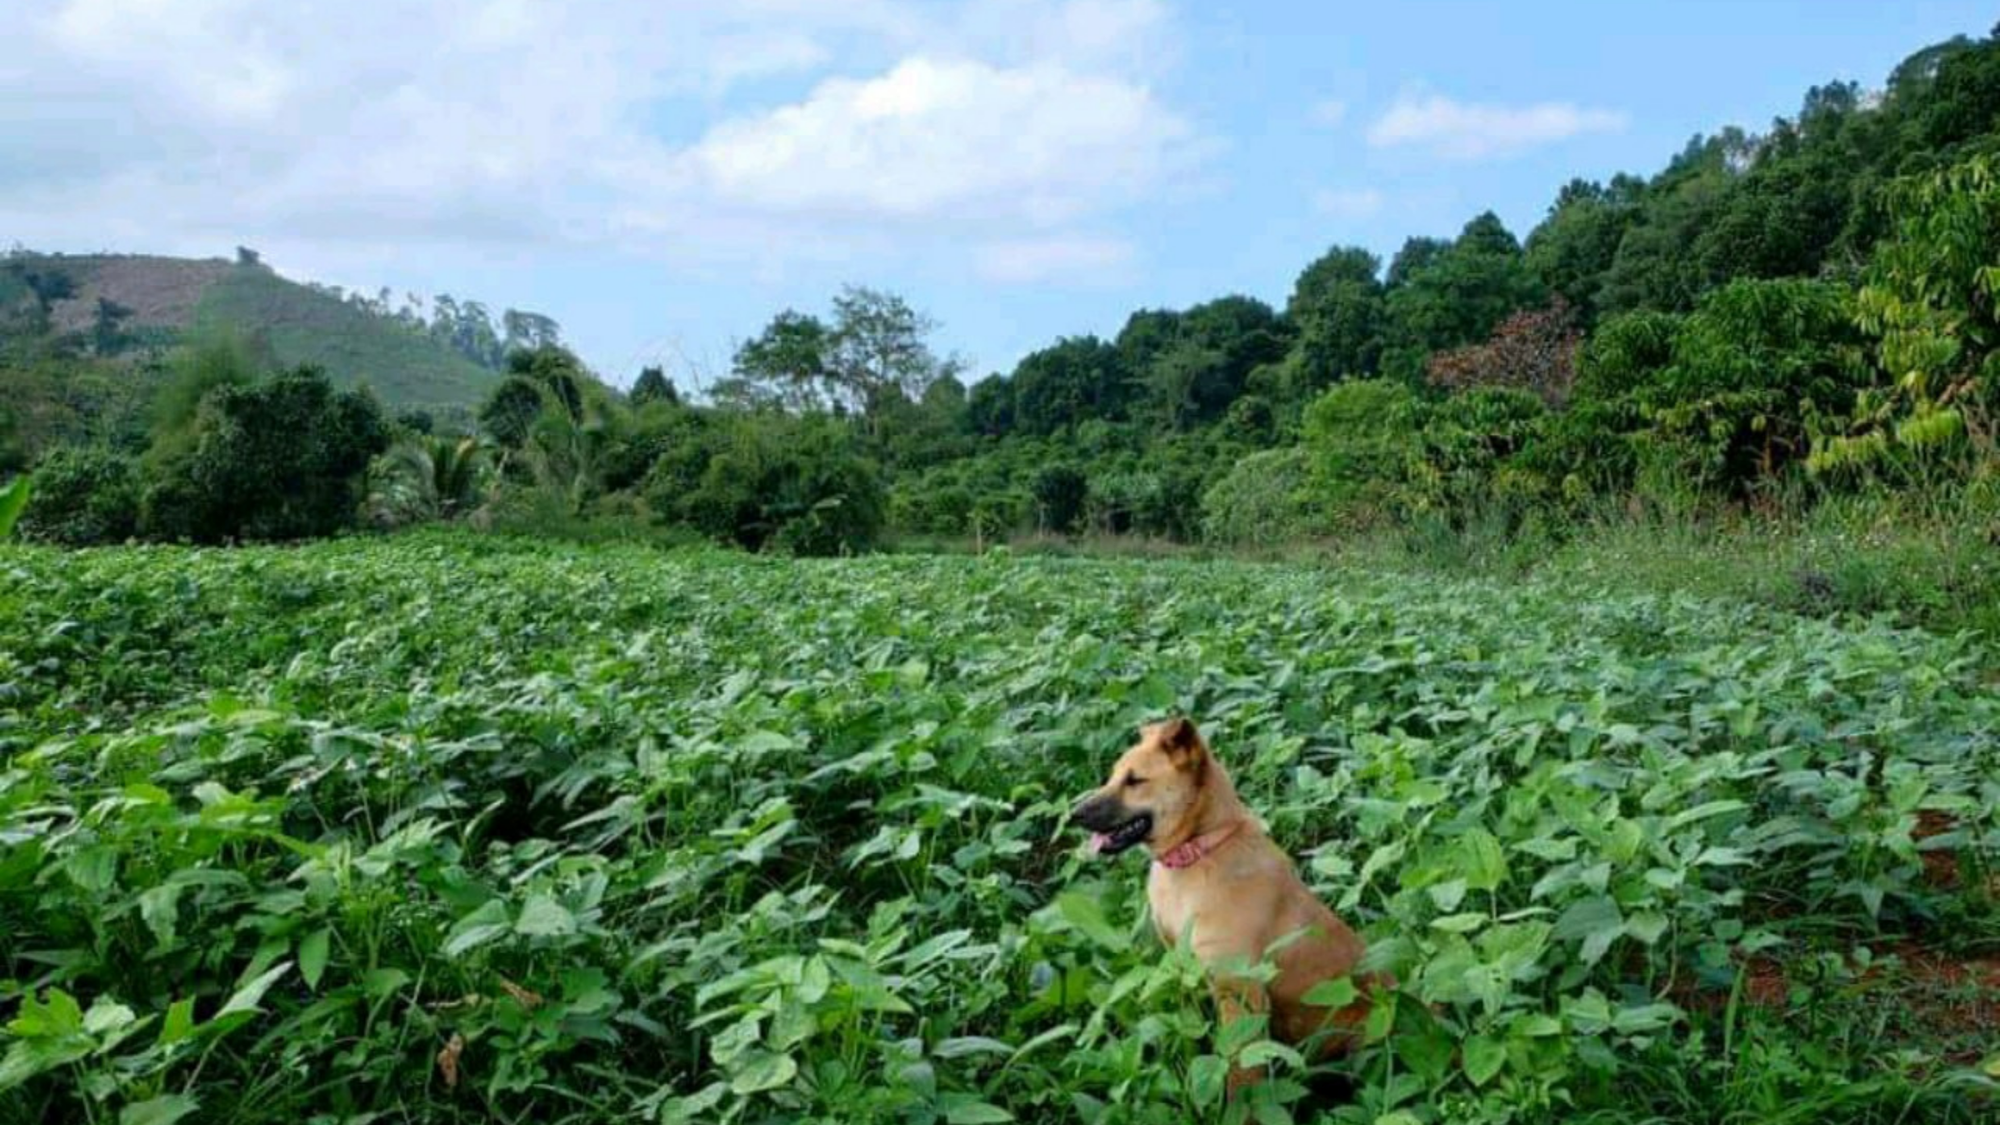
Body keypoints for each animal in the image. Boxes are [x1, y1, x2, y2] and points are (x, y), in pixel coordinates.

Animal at [1072, 712, 1384, 1088]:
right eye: (1113, 775)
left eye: (1135, 781)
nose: (1074, 815)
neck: (1197, 853)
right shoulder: (1182, 968)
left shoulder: (1240, 992)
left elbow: (1240, 1075)